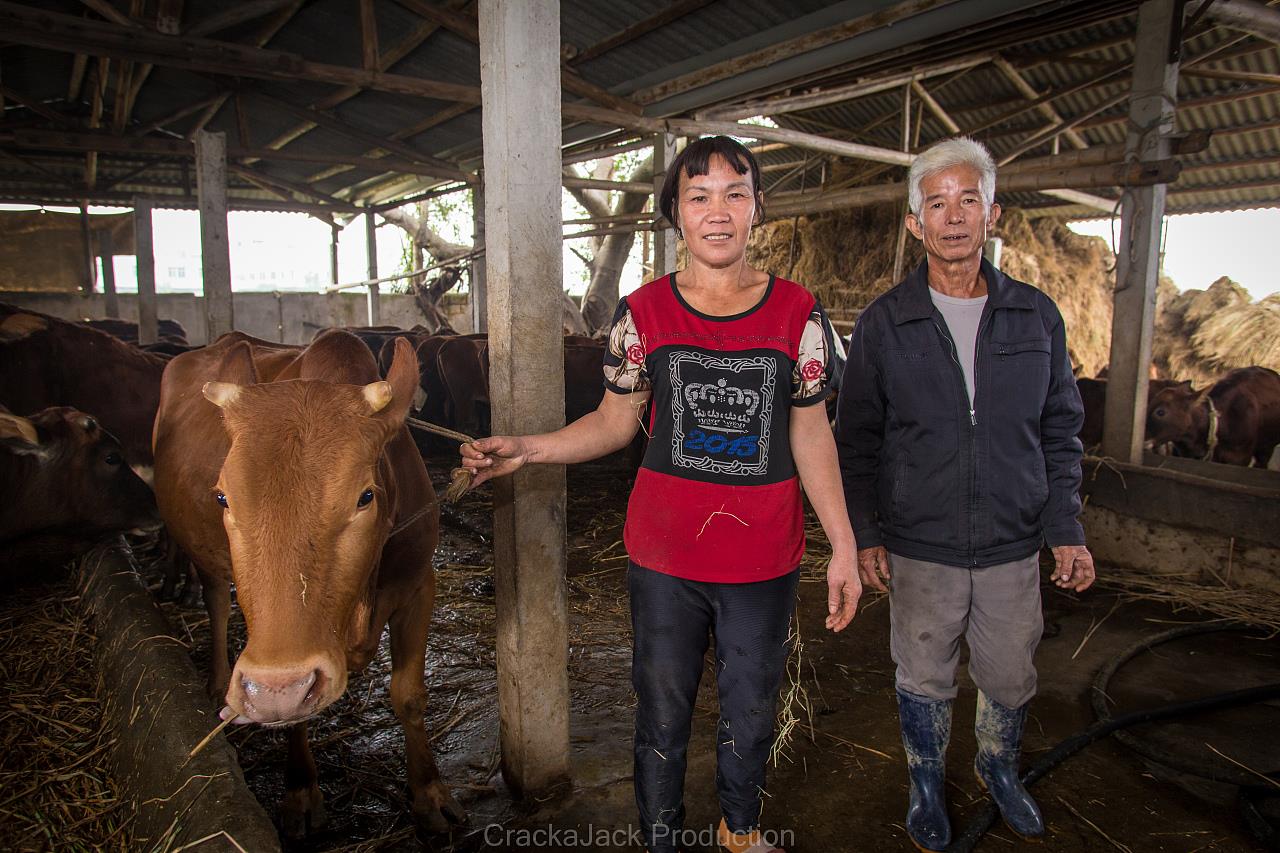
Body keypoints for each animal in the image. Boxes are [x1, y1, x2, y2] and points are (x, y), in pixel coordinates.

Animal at [153, 327, 465, 835]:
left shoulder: (418, 584)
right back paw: (216, 679)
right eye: (222, 497)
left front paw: (429, 793)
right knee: (216, 600)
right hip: (209, 562)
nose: (278, 688)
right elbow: (292, 719)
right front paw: (300, 789)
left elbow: (410, 696)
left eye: (365, 496)